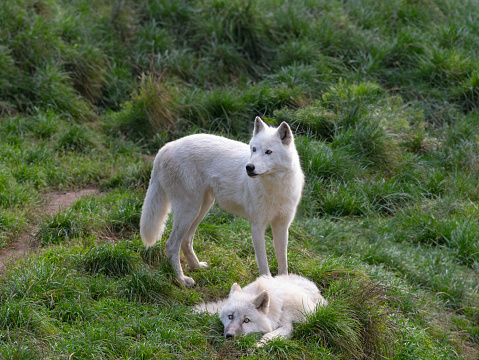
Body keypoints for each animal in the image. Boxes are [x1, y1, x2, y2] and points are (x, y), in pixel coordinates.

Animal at [140, 116, 304, 286]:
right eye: (254, 149)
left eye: (269, 152)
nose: (249, 167)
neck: (276, 186)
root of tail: (164, 148)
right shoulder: (257, 226)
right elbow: (263, 262)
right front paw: (266, 283)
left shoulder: (282, 226)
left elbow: (283, 261)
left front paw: (286, 285)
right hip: (189, 211)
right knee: (171, 245)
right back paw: (181, 279)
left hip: (202, 208)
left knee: (186, 240)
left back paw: (196, 267)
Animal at [197, 276, 328, 344]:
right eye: (230, 317)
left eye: (246, 320)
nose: (229, 336)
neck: (276, 308)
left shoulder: (288, 324)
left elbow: (269, 335)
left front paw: (258, 345)